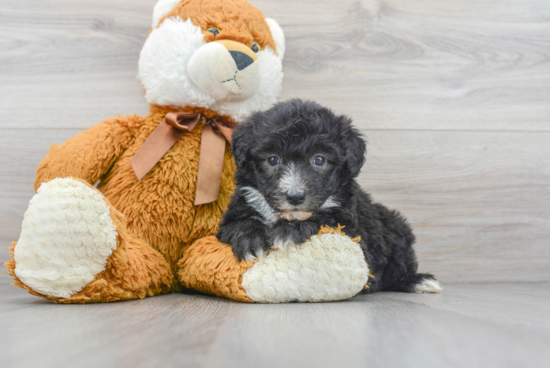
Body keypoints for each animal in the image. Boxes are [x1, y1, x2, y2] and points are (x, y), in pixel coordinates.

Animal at [218, 100, 442, 294]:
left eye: (319, 159)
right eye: (273, 159)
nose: (295, 196)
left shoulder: (352, 232)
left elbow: (324, 219)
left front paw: (289, 231)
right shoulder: (237, 210)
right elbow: (237, 224)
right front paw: (250, 239)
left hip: (396, 230)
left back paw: (419, 281)